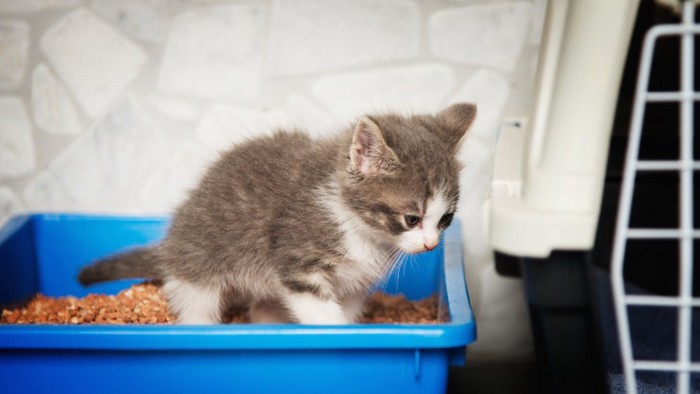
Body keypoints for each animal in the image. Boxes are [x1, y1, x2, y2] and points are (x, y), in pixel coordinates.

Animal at [79, 103, 478, 324]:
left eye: (445, 220)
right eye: (411, 218)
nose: (430, 245)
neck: (358, 228)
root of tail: (172, 241)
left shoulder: (354, 284)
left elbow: (347, 309)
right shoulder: (297, 262)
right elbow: (322, 312)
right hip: (199, 261)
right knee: (195, 303)